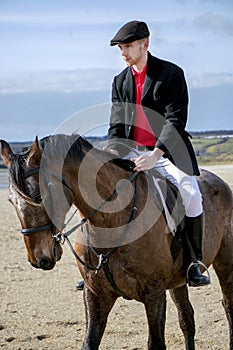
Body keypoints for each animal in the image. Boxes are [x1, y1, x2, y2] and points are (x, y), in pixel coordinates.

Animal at [0, 135, 233, 350]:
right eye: (11, 200)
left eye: (40, 197)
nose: (38, 258)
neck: (110, 222)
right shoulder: (95, 294)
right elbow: (89, 343)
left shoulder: (154, 294)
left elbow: (156, 343)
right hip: (178, 280)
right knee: (187, 319)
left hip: (224, 262)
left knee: (228, 306)